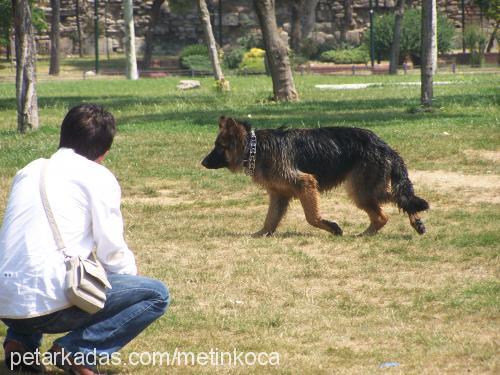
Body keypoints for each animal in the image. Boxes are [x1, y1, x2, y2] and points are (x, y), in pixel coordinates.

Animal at [201, 117, 428, 238]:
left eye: (219, 147)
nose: (202, 163)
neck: (255, 147)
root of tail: (385, 146)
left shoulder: (306, 184)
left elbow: (312, 217)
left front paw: (332, 227)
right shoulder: (279, 195)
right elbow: (270, 219)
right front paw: (261, 234)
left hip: (362, 191)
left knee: (389, 209)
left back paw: (366, 234)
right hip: (367, 190)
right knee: (397, 202)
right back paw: (413, 223)